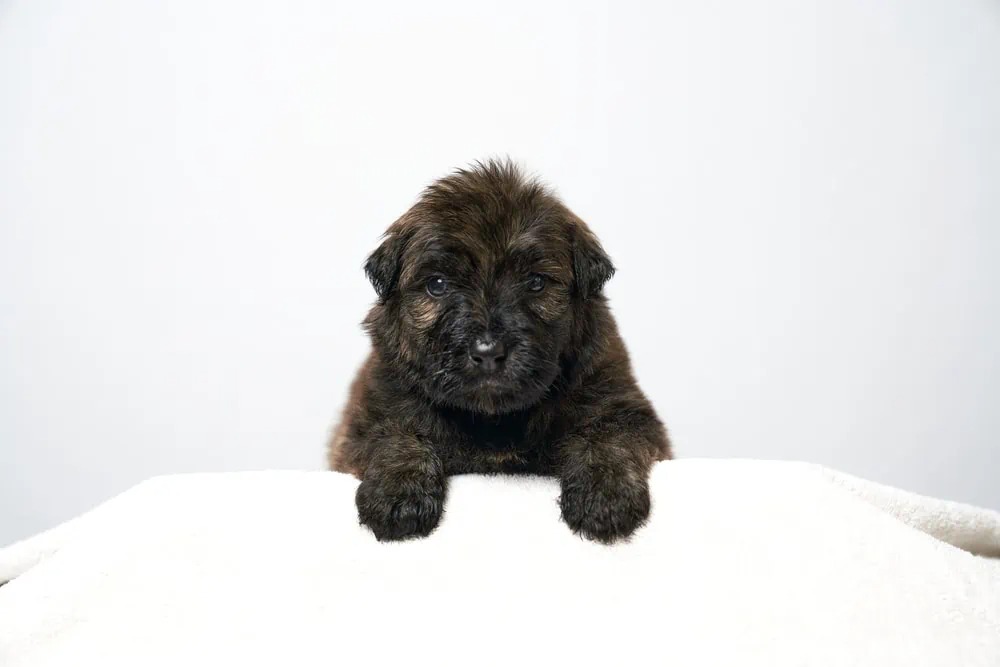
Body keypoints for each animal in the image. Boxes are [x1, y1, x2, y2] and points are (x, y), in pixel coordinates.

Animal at [330, 160, 672, 544]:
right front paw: (398, 495)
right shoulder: (366, 417)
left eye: (535, 282)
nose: (488, 352)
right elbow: (394, 435)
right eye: (437, 284)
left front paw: (605, 496)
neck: (494, 418)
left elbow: (608, 436)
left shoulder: (626, 408)